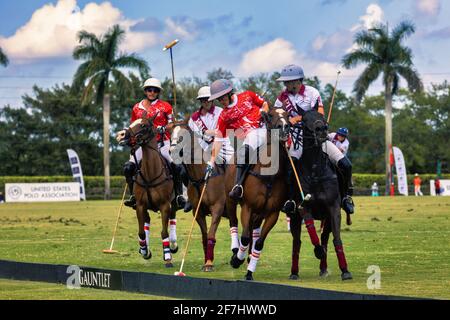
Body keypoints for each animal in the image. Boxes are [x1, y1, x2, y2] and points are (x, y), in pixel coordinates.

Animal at [119, 115, 179, 268]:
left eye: (144, 125)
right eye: (133, 122)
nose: (122, 135)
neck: (150, 174)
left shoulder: (165, 205)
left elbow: (164, 232)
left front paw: (168, 257)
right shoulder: (140, 205)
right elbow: (141, 232)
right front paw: (144, 250)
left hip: (174, 203)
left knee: (172, 219)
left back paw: (173, 245)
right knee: (146, 222)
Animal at [169, 124, 232, 272]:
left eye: (182, 137)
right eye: (170, 135)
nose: (172, 151)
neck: (201, 176)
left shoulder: (217, 208)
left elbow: (211, 235)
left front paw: (209, 264)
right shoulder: (197, 212)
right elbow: (204, 236)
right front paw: (207, 260)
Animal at [227, 108, 290, 280]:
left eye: (288, 115)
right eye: (271, 115)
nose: (284, 128)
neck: (268, 174)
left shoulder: (272, 213)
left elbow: (259, 242)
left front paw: (249, 272)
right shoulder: (247, 207)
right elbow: (244, 237)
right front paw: (237, 260)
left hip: (260, 212)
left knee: (253, 229)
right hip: (231, 200)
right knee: (234, 222)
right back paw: (235, 252)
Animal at [290, 110, 354, 280]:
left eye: (322, 117)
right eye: (304, 119)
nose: (322, 131)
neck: (315, 172)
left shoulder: (334, 208)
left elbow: (336, 239)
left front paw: (345, 271)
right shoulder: (303, 207)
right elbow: (312, 232)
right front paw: (318, 251)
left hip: (327, 217)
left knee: (325, 237)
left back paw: (324, 268)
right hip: (294, 216)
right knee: (296, 242)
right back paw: (294, 272)